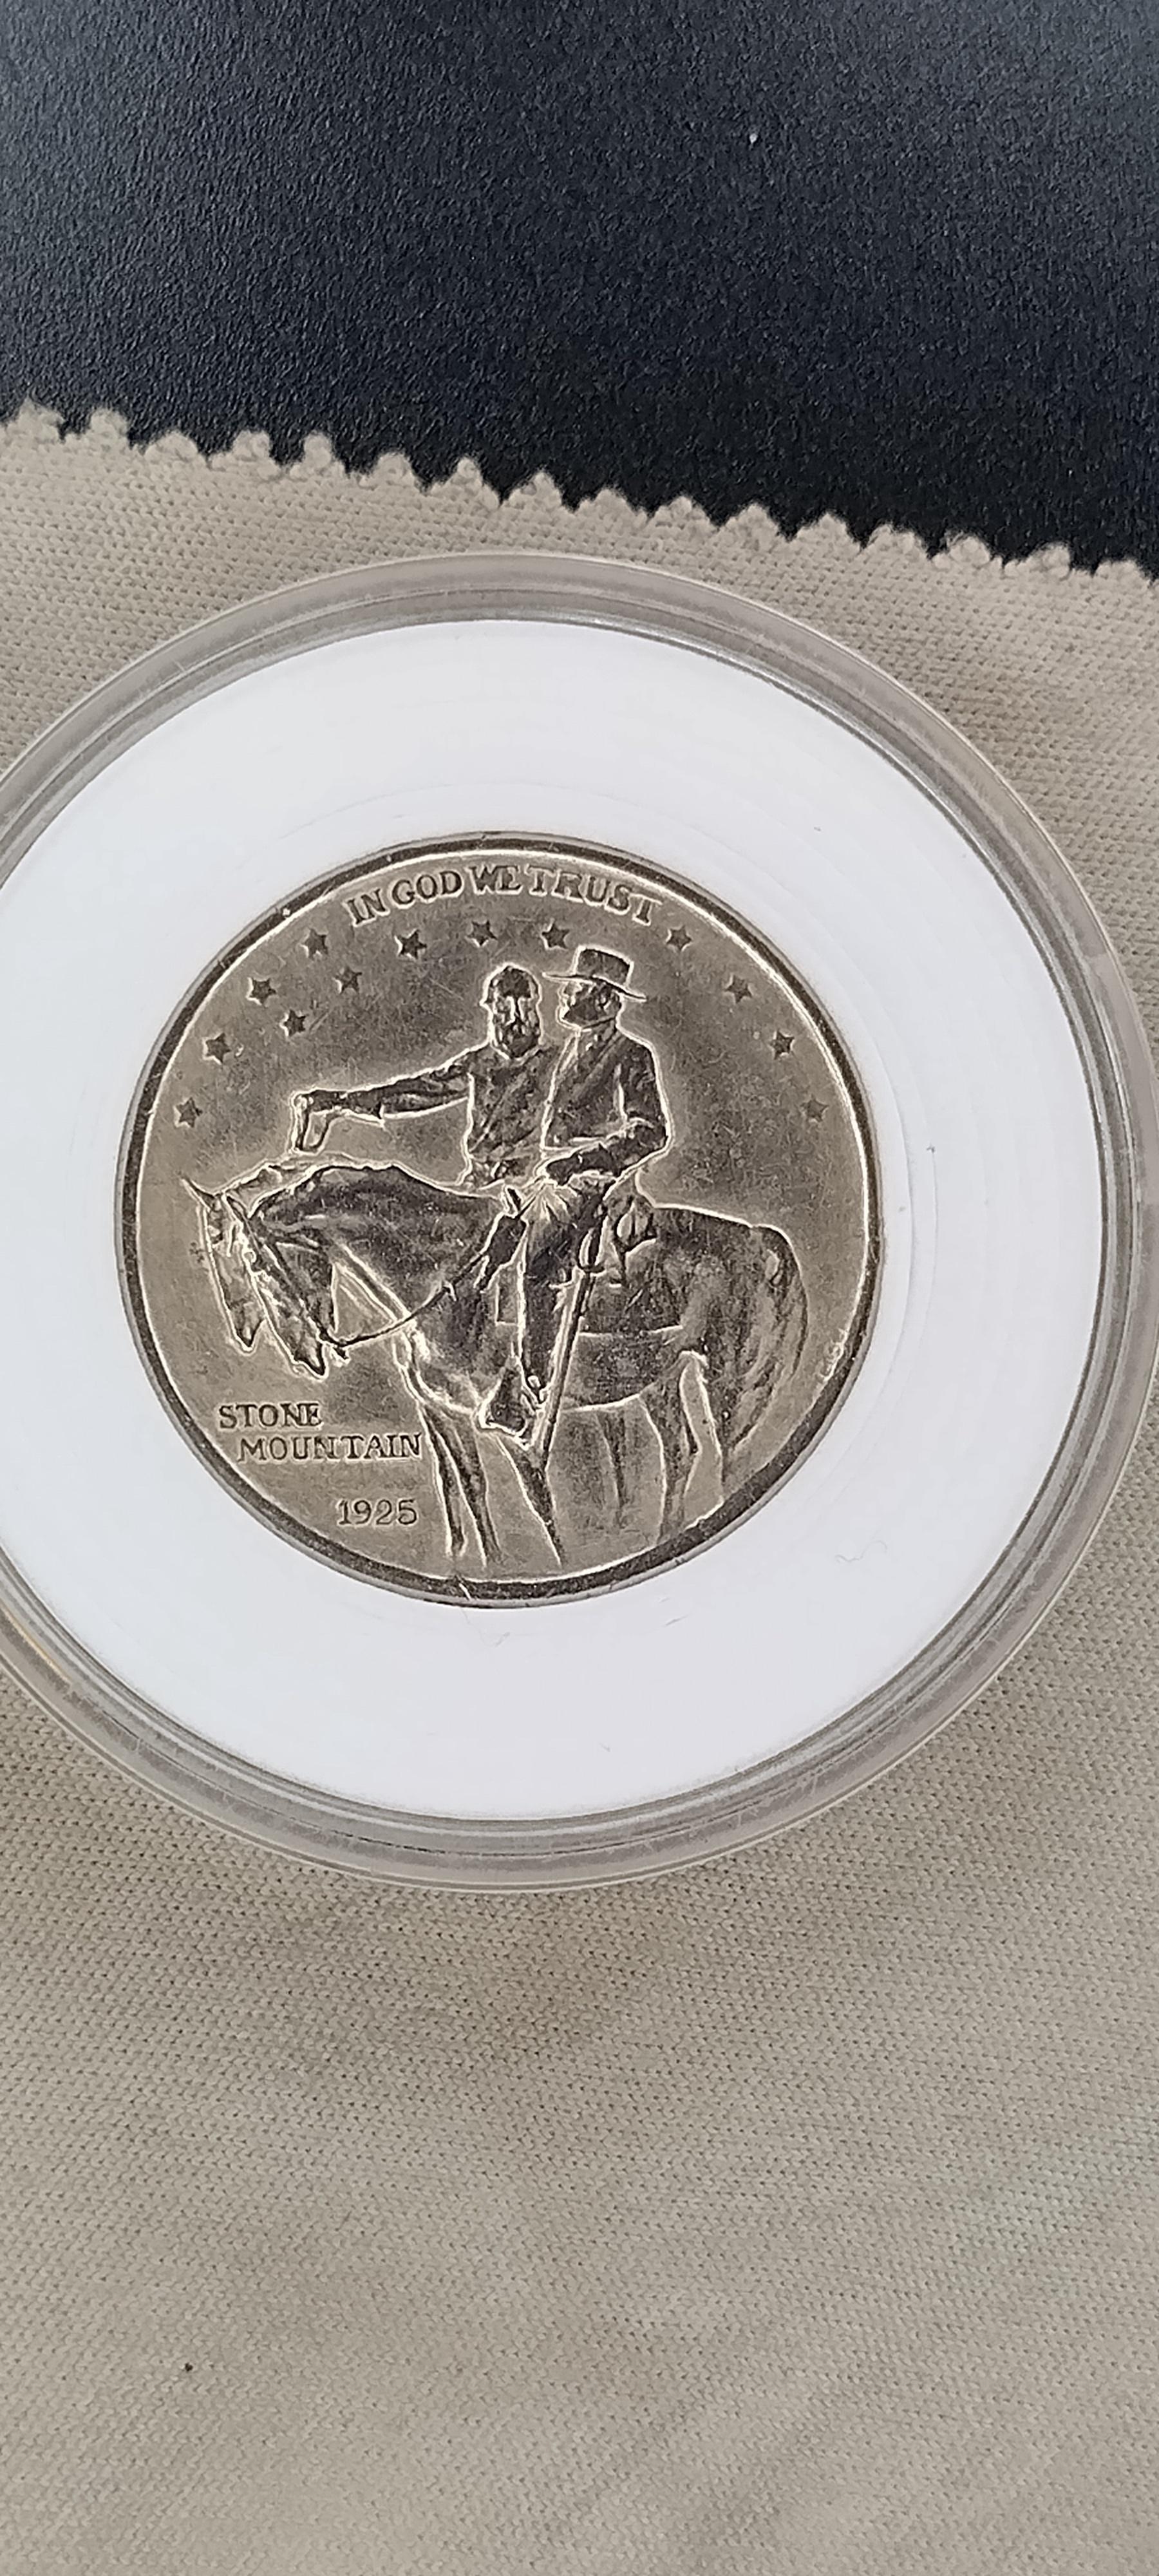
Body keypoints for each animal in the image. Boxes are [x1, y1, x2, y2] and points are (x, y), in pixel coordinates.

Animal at [194, 1157, 808, 1568]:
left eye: (253, 1262)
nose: (303, 1354)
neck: (449, 1282)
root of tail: (764, 1242)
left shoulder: (513, 1420)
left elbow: (538, 1502)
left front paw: (557, 1562)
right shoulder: (442, 1414)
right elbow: (464, 1485)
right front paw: (483, 1564)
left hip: (733, 1390)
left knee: (729, 1458)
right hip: (654, 1380)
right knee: (680, 1452)